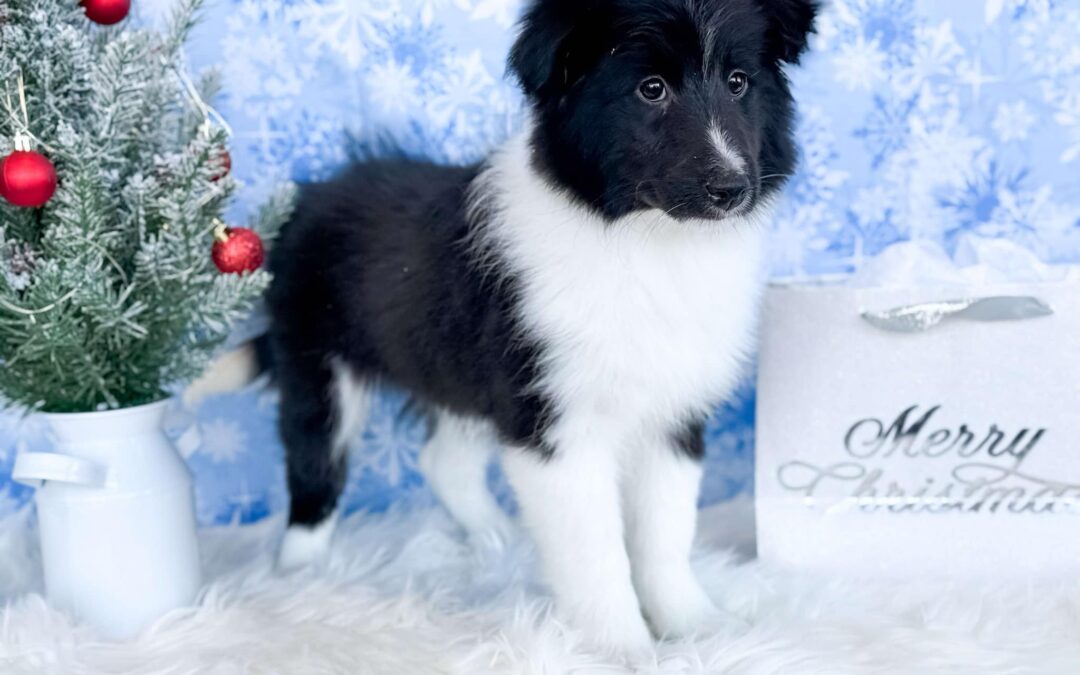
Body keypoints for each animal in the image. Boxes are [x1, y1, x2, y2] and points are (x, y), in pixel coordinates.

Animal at [267, 0, 816, 656]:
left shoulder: (670, 412)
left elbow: (665, 533)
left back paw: (494, 537)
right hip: (316, 364)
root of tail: (314, 193)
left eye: (738, 82)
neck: (646, 242)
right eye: (651, 89)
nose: (731, 189)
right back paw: (300, 579)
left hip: (463, 372)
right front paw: (623, 648)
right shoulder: (555, 424)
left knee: (442, 460)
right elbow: (596, 551)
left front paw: (697, 628)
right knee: (314, 468)